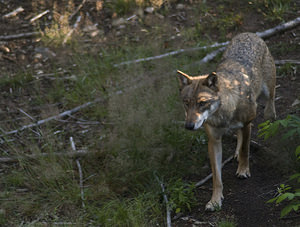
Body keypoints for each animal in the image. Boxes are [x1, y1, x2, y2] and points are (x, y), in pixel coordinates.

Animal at [177, 32, 276, 211]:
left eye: (202, 103)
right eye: (186, 103)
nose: (189, 126)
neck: (222, 114)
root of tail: (249, 34)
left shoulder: (246, 124)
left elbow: (245, 150)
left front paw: (243, 170)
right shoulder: (214, 140)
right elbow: (217, 177)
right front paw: (215, 201)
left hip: (267, 94)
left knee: (270, 105)